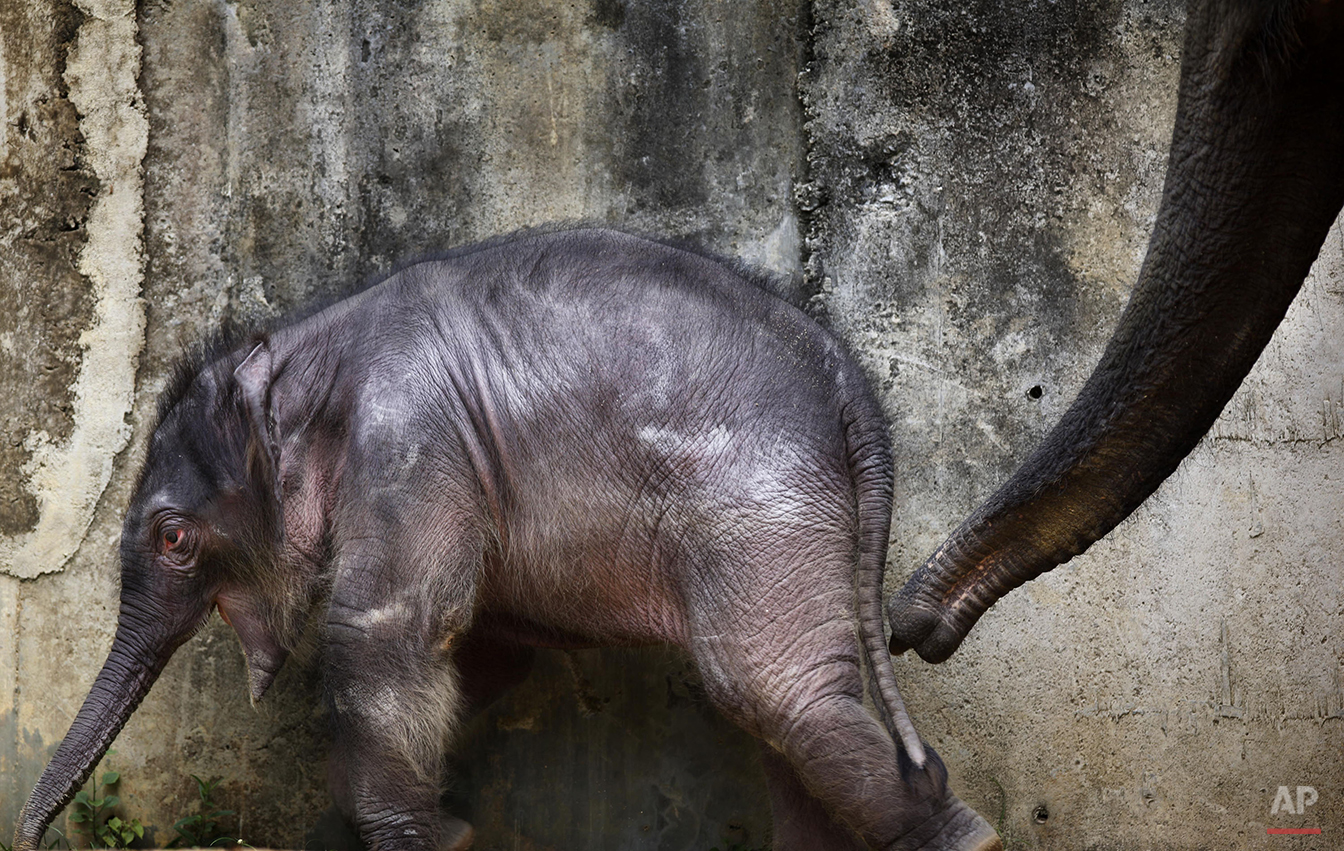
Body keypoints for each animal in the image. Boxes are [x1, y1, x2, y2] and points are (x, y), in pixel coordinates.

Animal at [10, 227, 999, 849]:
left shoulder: (411, 441)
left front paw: (420, 839)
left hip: (762, 505)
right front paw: (426, 827)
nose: (28, 836)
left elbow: (386, 634)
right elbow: (482, 652)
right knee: (790, 709)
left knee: (774, 687)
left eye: (174, 538)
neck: (305, 347)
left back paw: (967, 837)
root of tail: (856, 390)